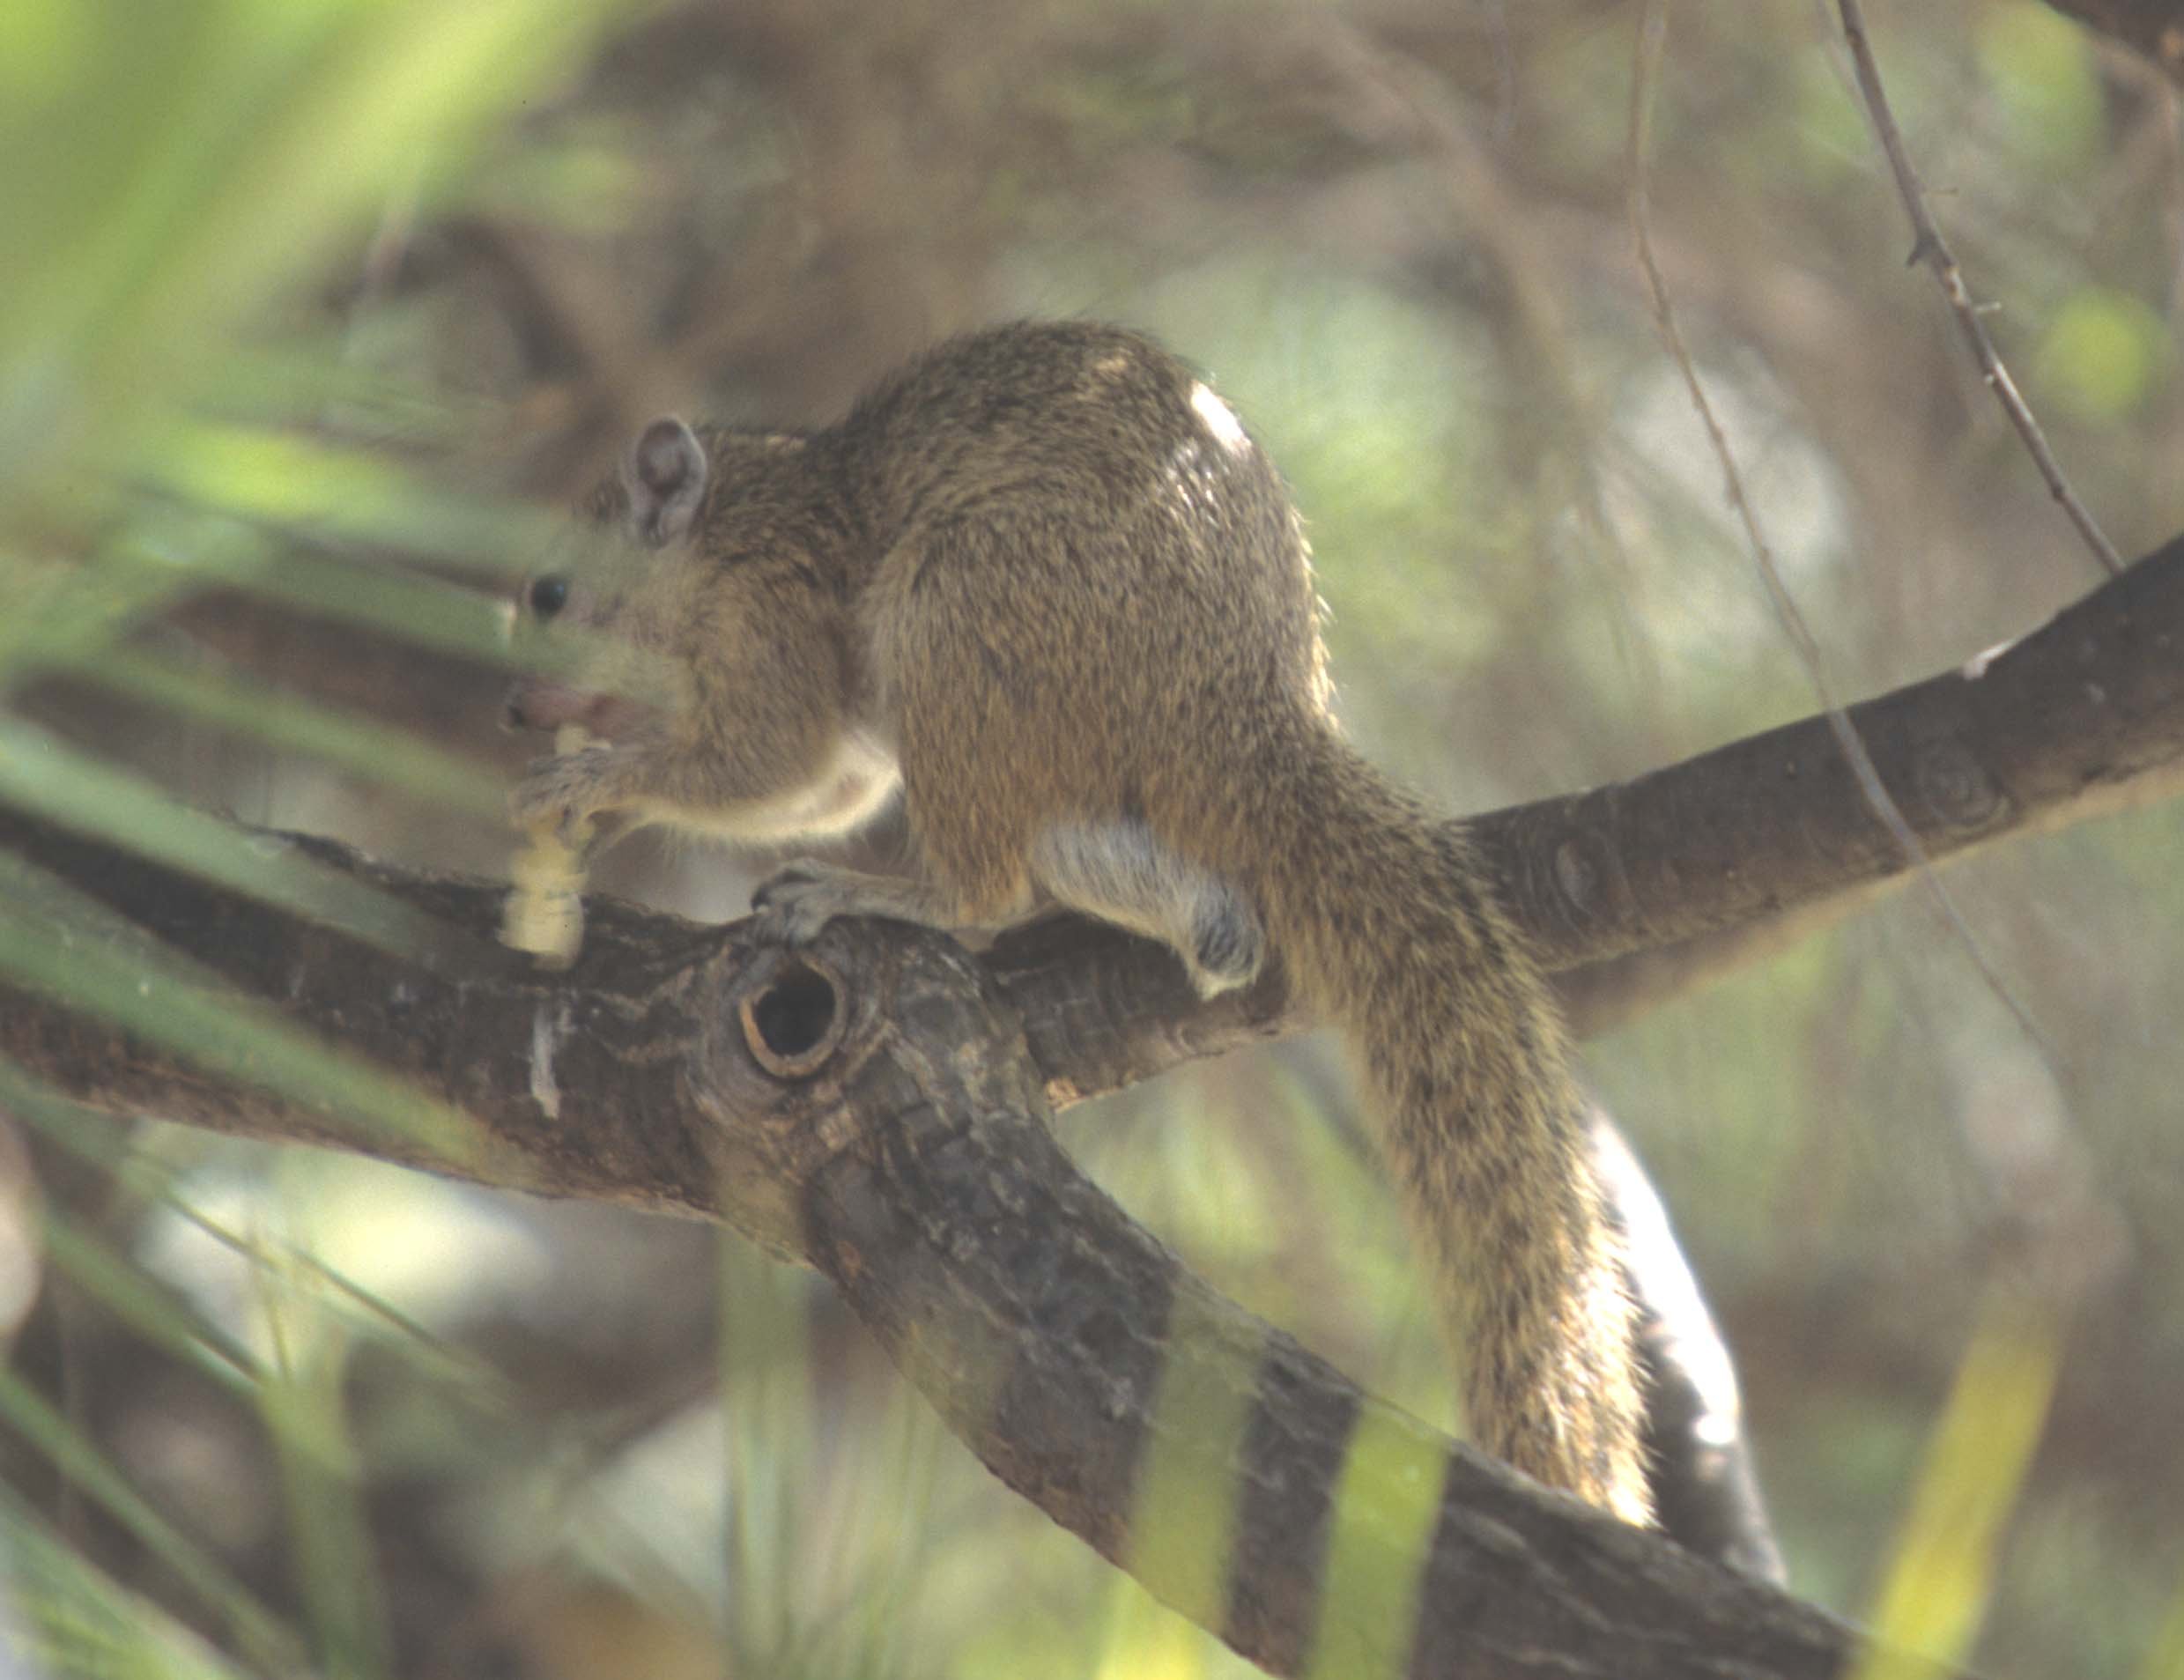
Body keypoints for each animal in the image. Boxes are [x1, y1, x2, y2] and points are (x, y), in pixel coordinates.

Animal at [504, 320, 1650, 1523]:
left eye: (550, 592)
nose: (514, 708)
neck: (736, 520)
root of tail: (1245, 719)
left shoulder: (774, 615)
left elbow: (774, 763)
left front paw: (594, 778)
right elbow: (824, 787)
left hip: (963, 611)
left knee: (989, 888)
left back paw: (876, 892)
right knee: (1137, 885)